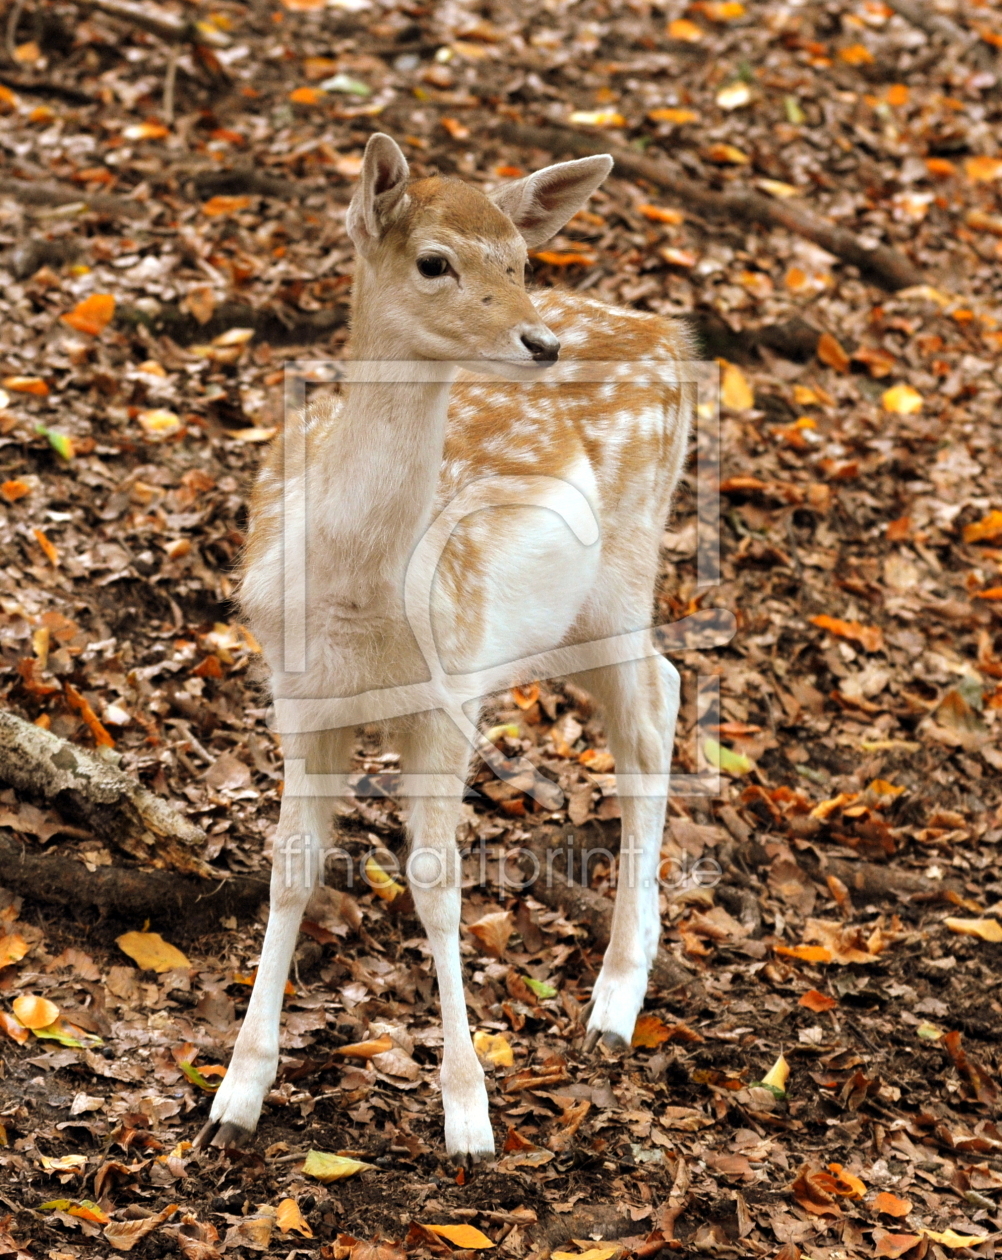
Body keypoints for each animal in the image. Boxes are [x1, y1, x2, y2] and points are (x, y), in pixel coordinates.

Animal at [197, 132, 695, 1164]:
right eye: (435, 261)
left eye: (520, 260)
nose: (539, 342)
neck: (356, 599)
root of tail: (670, 335)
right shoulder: (297, 697)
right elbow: (291, 868)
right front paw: (235, 1096)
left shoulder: (449, 696)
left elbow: (437, 885)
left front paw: (468, 1116)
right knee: (663, 687)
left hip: (624, 572)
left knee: (648, 712)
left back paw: (614, 1003)